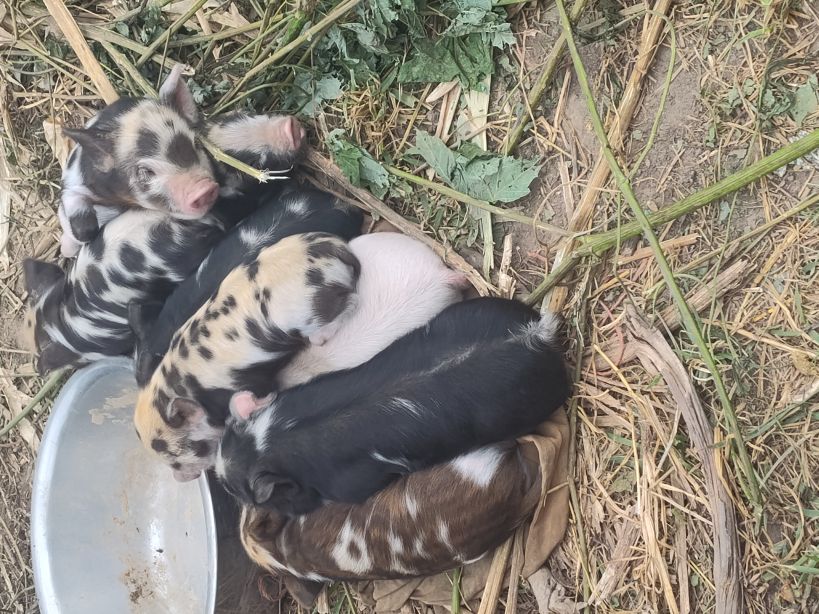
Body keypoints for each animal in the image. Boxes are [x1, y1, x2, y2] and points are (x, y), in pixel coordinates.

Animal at [133, 233, 360, 482]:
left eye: (181, 455)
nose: (181, 479)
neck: (187, 387)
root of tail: (333, 247)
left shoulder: (249, 382)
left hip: (315, 313)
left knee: (351, 303)